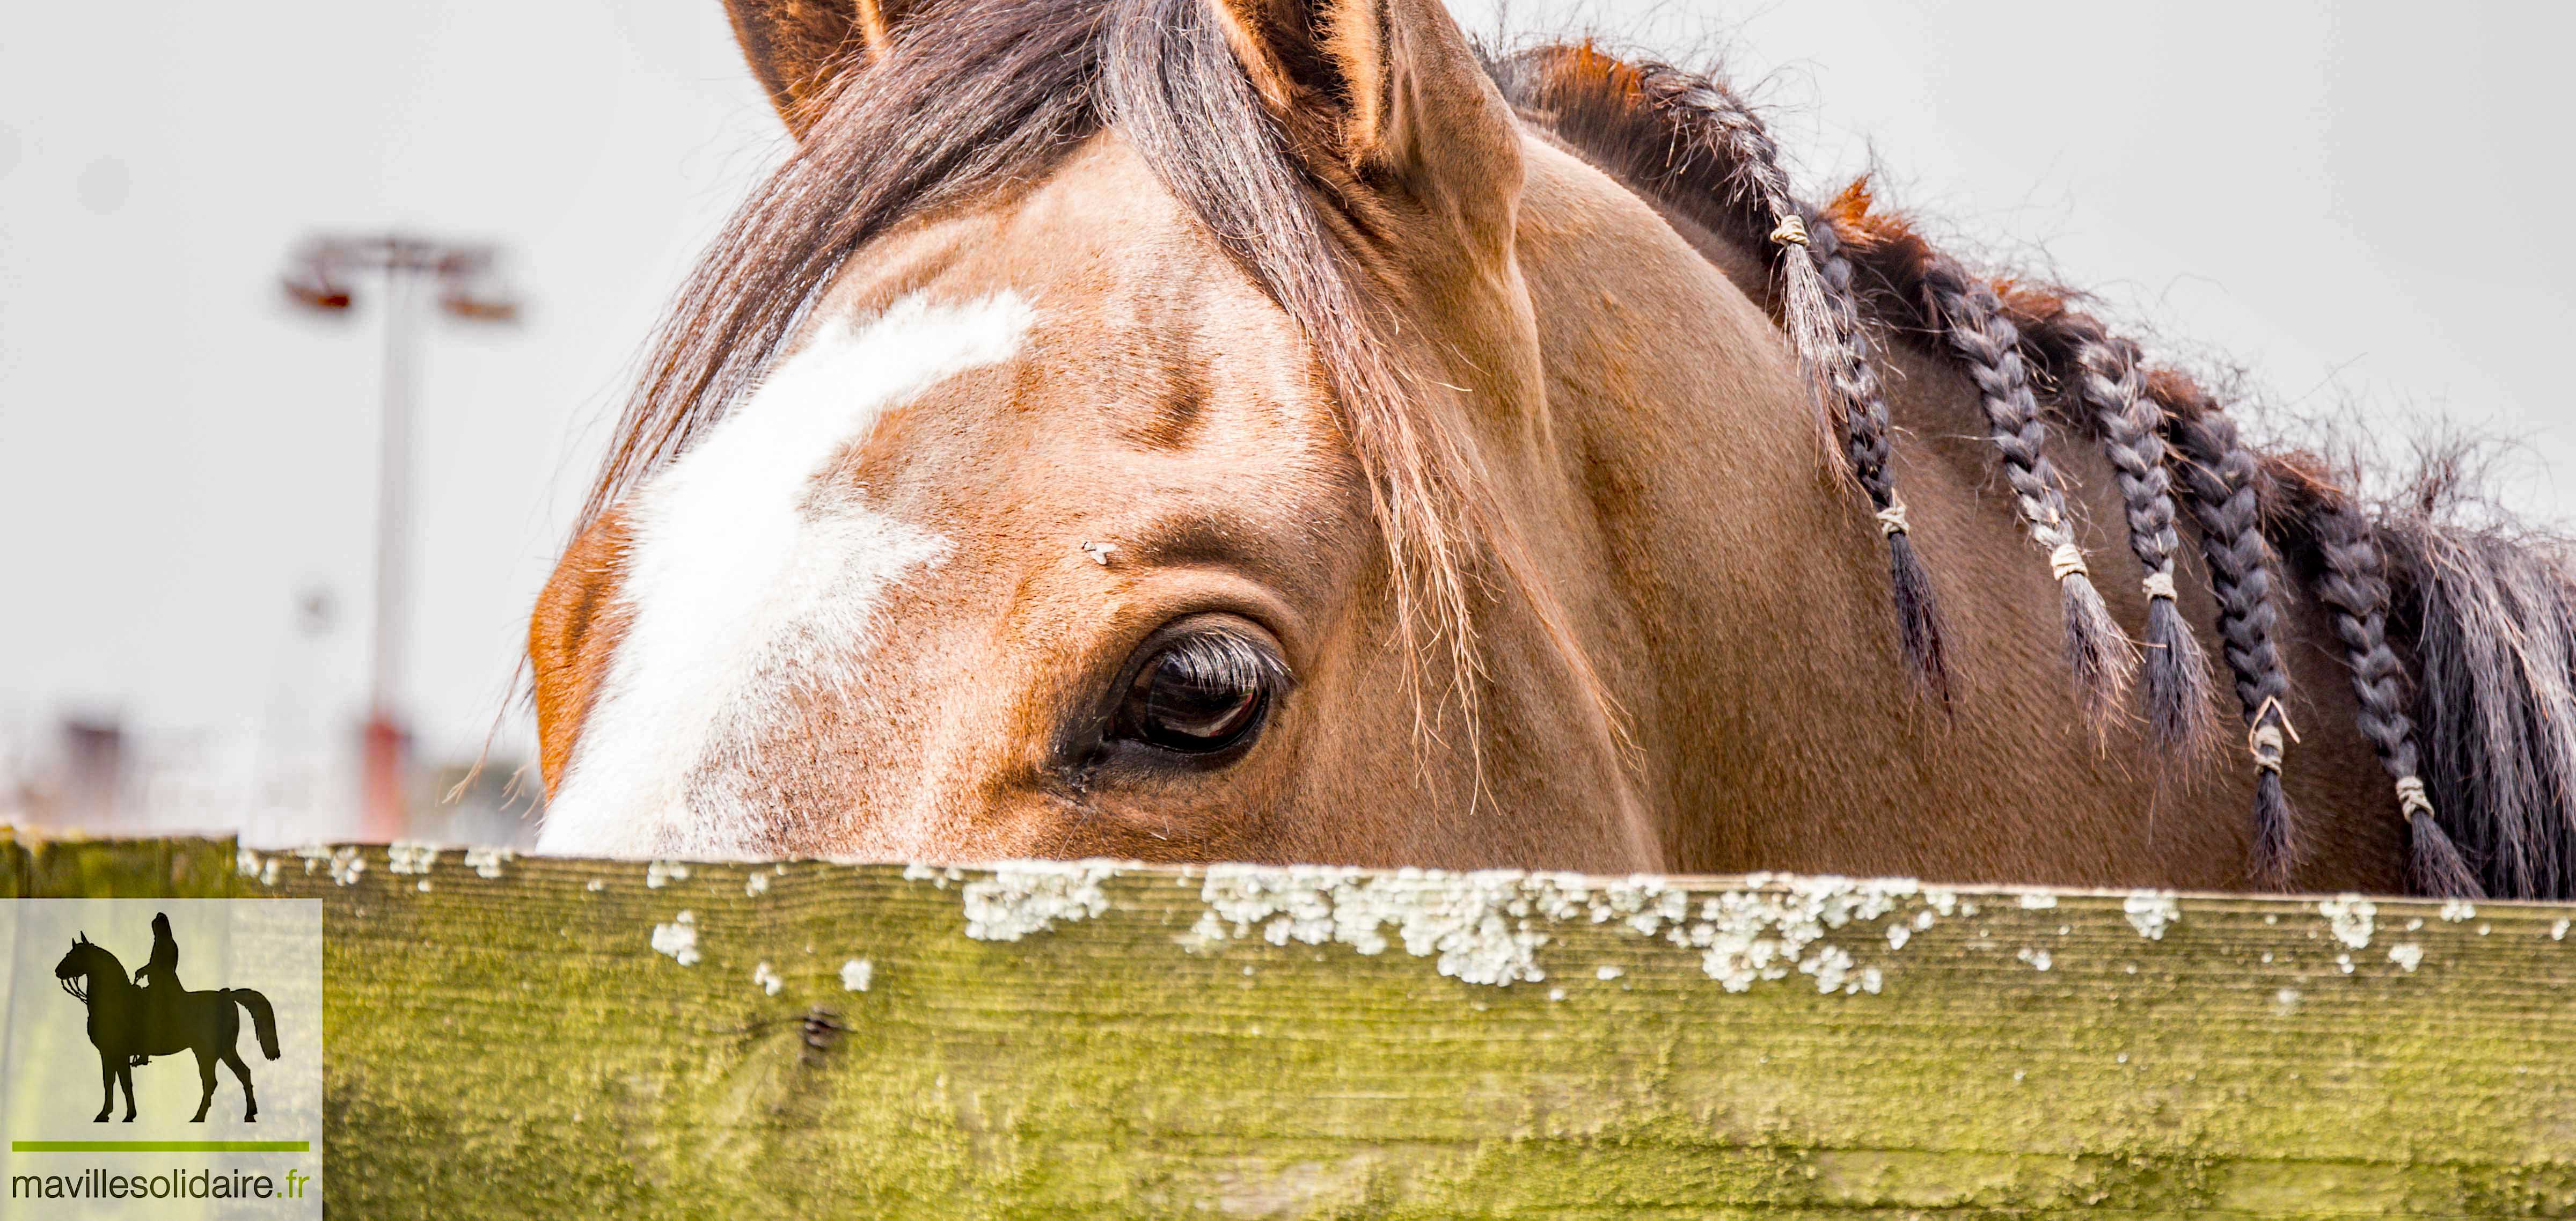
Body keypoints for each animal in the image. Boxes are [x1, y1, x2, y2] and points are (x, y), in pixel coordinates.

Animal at [53, 932, 279, 1123]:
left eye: (75, 955)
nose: (57, 972)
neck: (116, 1000)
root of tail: (227, 994)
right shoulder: (108, 1053)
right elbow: (109, 1083)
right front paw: (105, 1114)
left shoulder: (119, 1053)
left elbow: (125, 1084)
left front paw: (128, 1116)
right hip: (224, 1050)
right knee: (243, 1073)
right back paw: (249, 1114)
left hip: (206, 1052)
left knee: (211, 1082)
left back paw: (199, 1117)